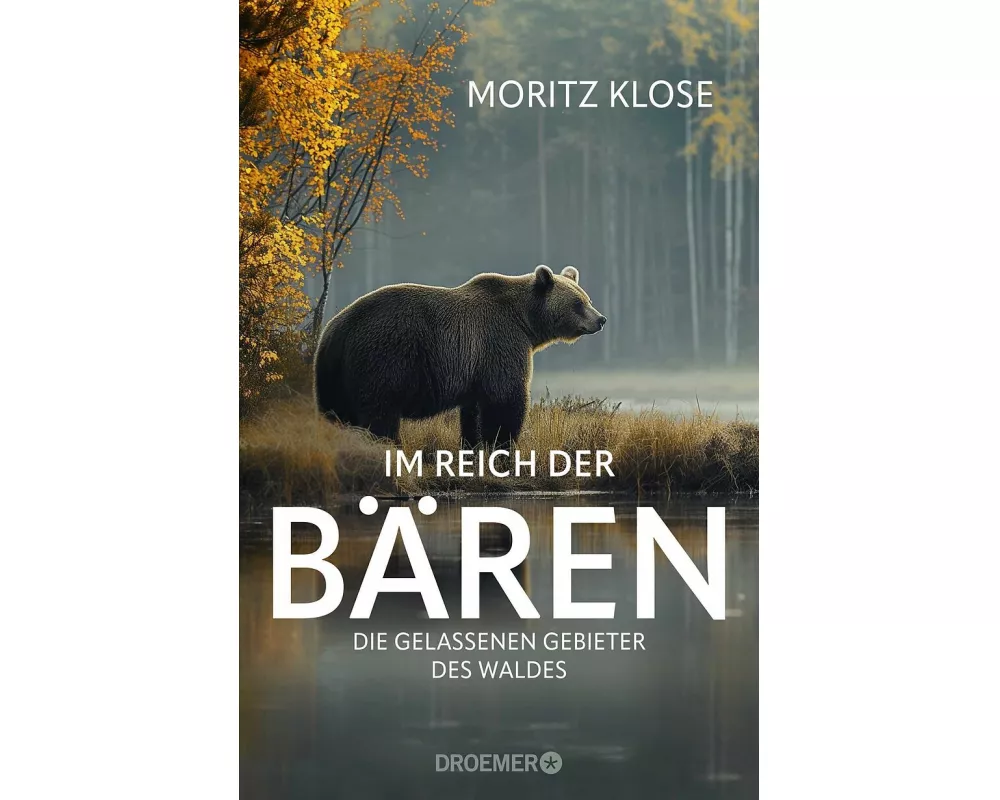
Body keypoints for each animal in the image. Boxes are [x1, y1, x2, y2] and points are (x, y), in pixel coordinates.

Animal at [313, 264, 607, 445]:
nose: (601, 319)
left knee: (337, 412)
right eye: (578, 304)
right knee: (379, 414)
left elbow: (474, 410)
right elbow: (505, 399)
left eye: (588, 299)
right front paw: (501, 446)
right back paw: (389, 444)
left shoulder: (476, 365)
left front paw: (474, 446)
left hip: (333, 373)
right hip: (383, 358)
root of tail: (335, 331)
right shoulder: (500, 341)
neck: (526, 322)